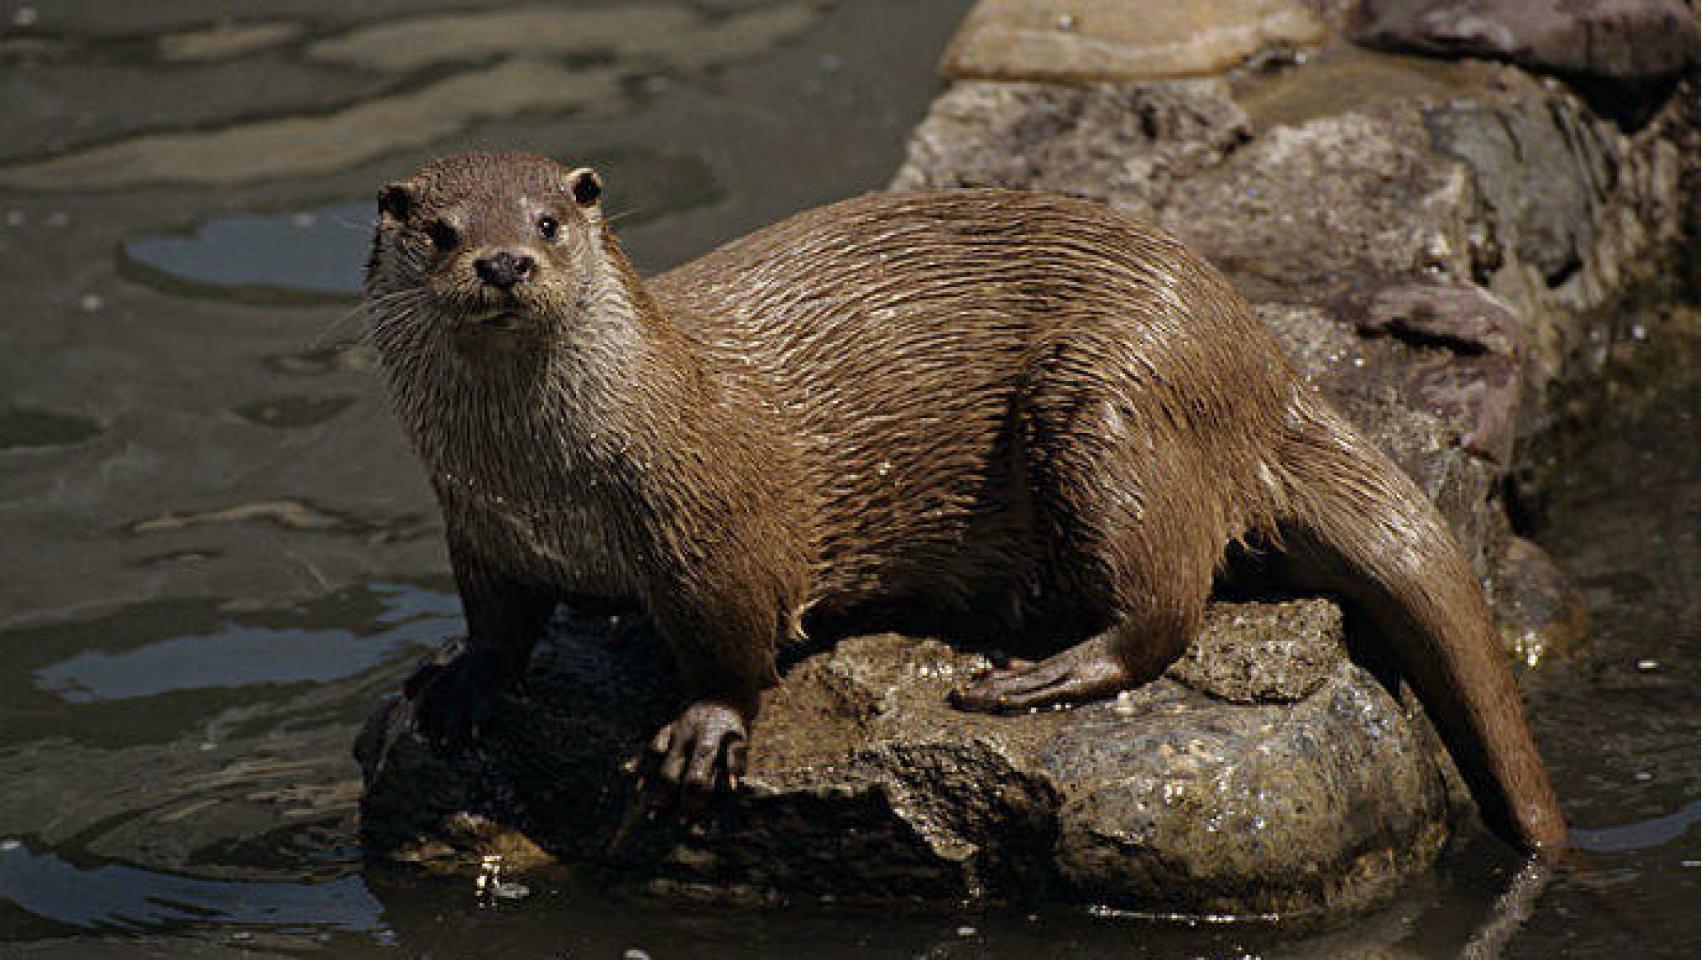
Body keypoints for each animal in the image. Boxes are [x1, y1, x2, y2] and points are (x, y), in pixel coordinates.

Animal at [366, 154, 1562, 852]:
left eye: (547, 221)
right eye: (440, 231)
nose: (504, 262)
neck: (549, 477)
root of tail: (1263, 364)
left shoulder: (712, 529)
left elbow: (732, 641)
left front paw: (701, 732)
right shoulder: (475, 524)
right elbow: (497, 620)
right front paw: (457, 681)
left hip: (1113, 402)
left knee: (1167, 601)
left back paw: (1036, 676)